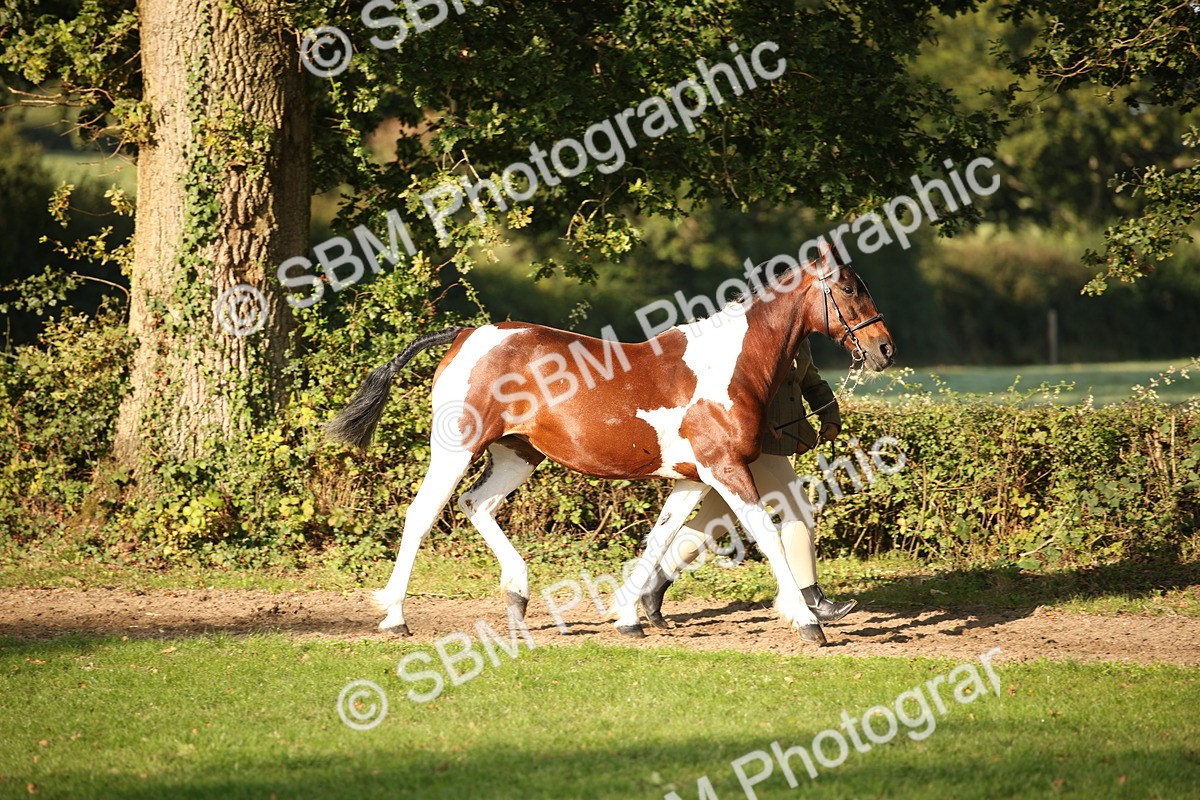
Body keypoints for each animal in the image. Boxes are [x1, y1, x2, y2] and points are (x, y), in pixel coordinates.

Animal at [327, 242, 895, 644]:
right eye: (848, 289)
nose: (884, 348)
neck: (730, 365)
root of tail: (467, 335)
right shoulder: (725, 469)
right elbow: (767, 535)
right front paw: (807, 622)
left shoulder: (693, 479)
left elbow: (660, 539)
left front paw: (628, 618)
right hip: (456, 449)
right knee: (421, 515)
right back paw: (395, 617)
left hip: (517, 455)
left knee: (476, 504)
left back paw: (518, 596)